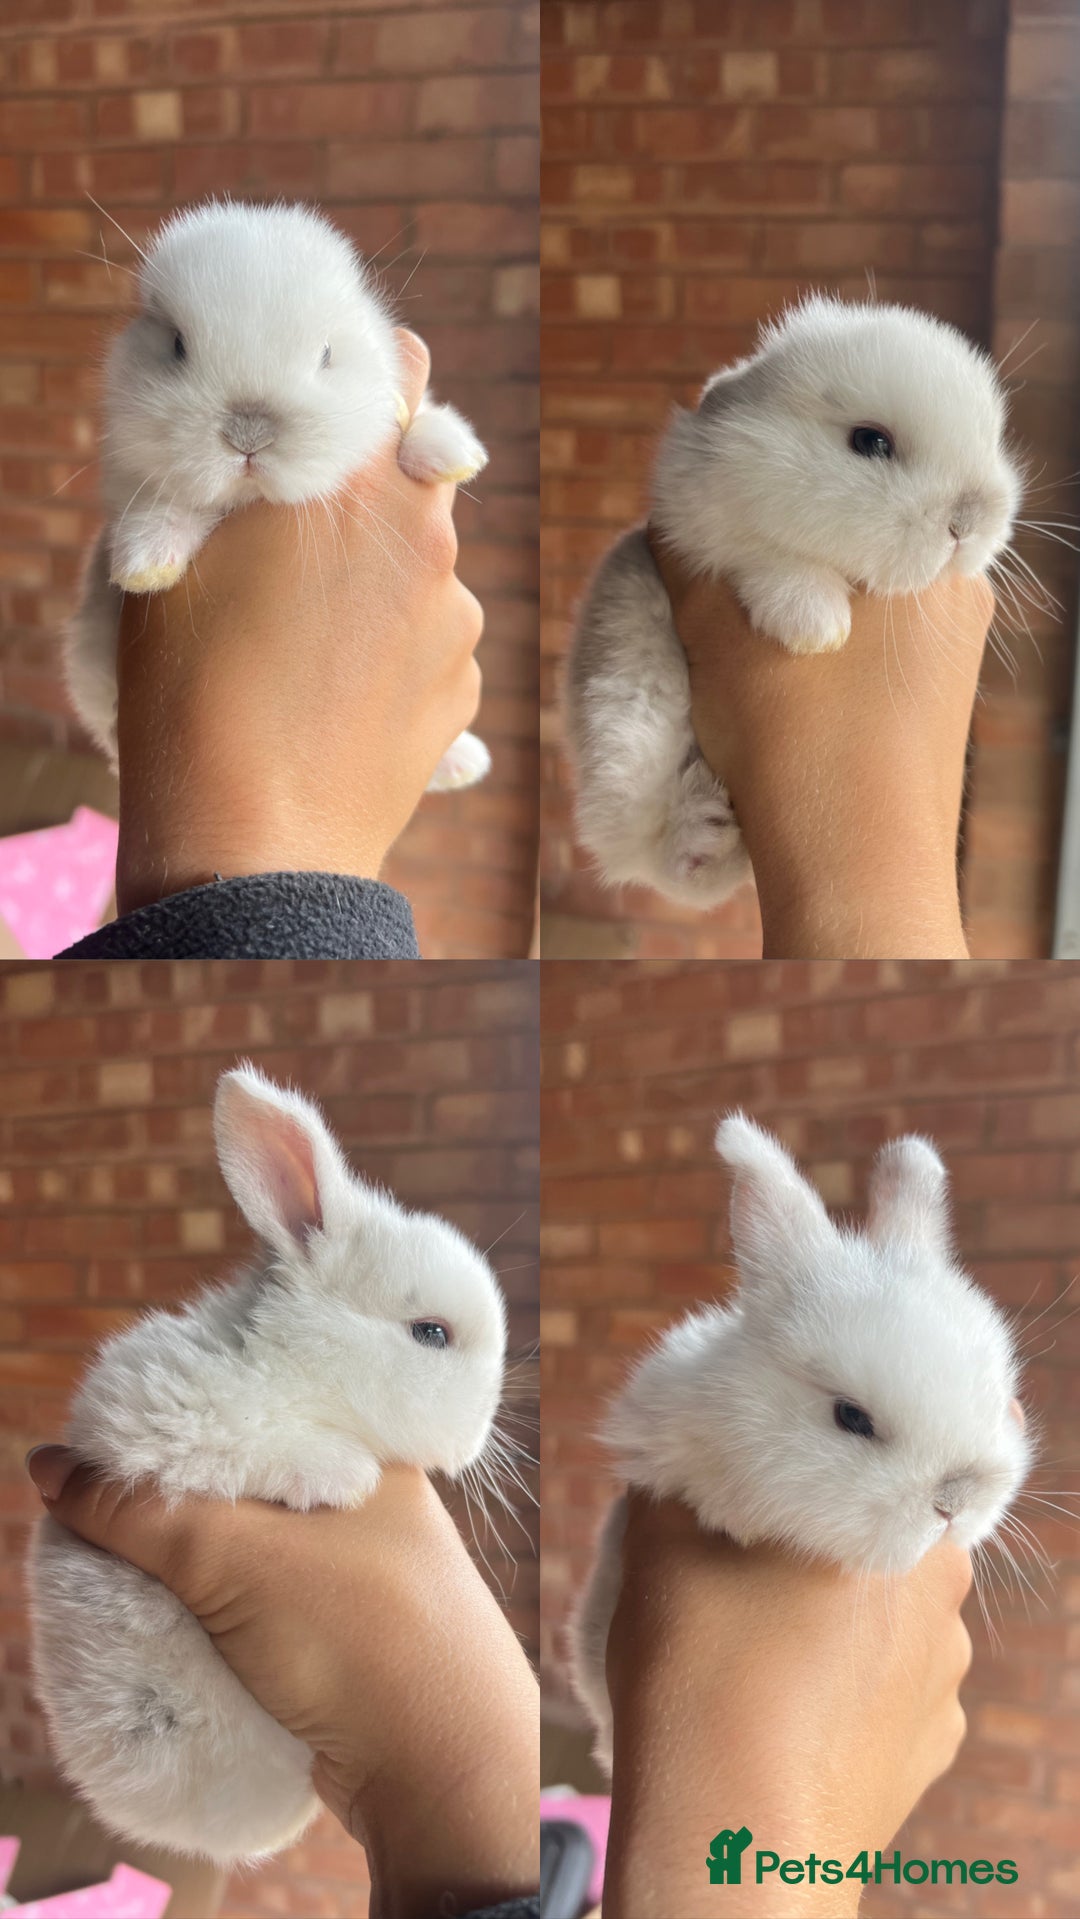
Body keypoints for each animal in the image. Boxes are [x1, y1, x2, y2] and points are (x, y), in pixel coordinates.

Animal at [28, 1063, 508, 1865]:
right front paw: (340, 1476)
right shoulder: (158, 1418)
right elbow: (255, 1441)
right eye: (431, 1332)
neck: (297, 1367)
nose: (479, 1435)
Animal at [63, 198, 491, 792]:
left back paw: (464, 763)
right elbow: (172, 509)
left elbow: (418, 418)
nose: (249, 435)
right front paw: (144, 562)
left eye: (327, 354)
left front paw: (454, 454)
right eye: (176, 346)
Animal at [565, 295, 1023, 909]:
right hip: (628, 722)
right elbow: (767, 553)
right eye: (870, 442)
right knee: (639, 844)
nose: (969, 521)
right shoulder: (697, 521)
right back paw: (700, 834)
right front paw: (817, 626)